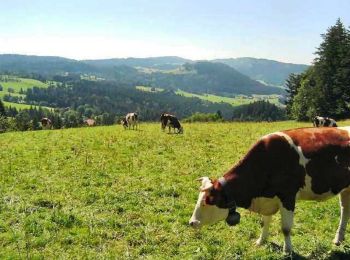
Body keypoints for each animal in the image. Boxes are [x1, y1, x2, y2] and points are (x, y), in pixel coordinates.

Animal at [190, 127, 350, 253]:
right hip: (345, 189)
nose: (191, 222)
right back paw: (338, 239)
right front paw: (261, 241)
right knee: (345, 210)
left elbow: (286, 228)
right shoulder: (267, 199)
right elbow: (265, 222)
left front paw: (288, 250)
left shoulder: (287, 196)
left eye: (207, 201)